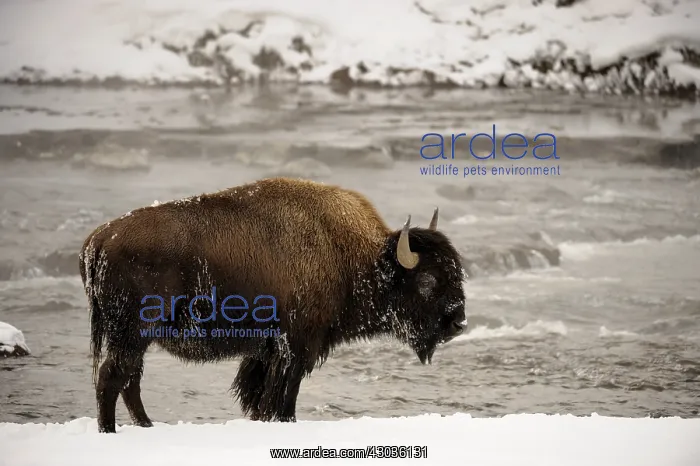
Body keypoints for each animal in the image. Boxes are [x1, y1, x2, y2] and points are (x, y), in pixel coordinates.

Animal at [79, 177, 467, 433]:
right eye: (428, 281)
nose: (458, 323)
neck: (352, 256)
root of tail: (99, 239)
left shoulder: (268, 352)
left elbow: (262, 395)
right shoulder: (295, 349)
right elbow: (282, 397)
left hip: (135, 340)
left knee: (128, 381)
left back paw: (147, 426)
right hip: (132, 335)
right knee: (112, 379)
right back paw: (112, 431)